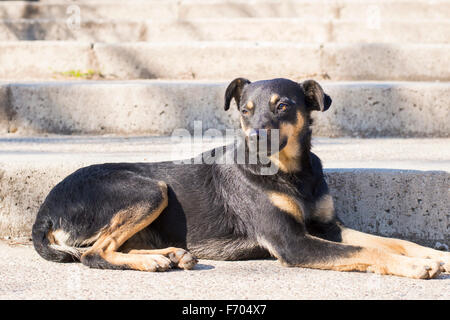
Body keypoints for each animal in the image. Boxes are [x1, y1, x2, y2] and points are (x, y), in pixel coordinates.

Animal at [29, 77, 448, 278]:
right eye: (245, 110)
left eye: (283, 106)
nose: (255, 137)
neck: (292, 173)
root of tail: (43, 213)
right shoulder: (293, 243)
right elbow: (367, 251)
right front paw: (415, 267)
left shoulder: (329, 227)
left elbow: (392, 241)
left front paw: (433, 254)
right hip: (150, 189)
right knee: (94, 254)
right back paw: (153, 263)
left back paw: (170, 255)